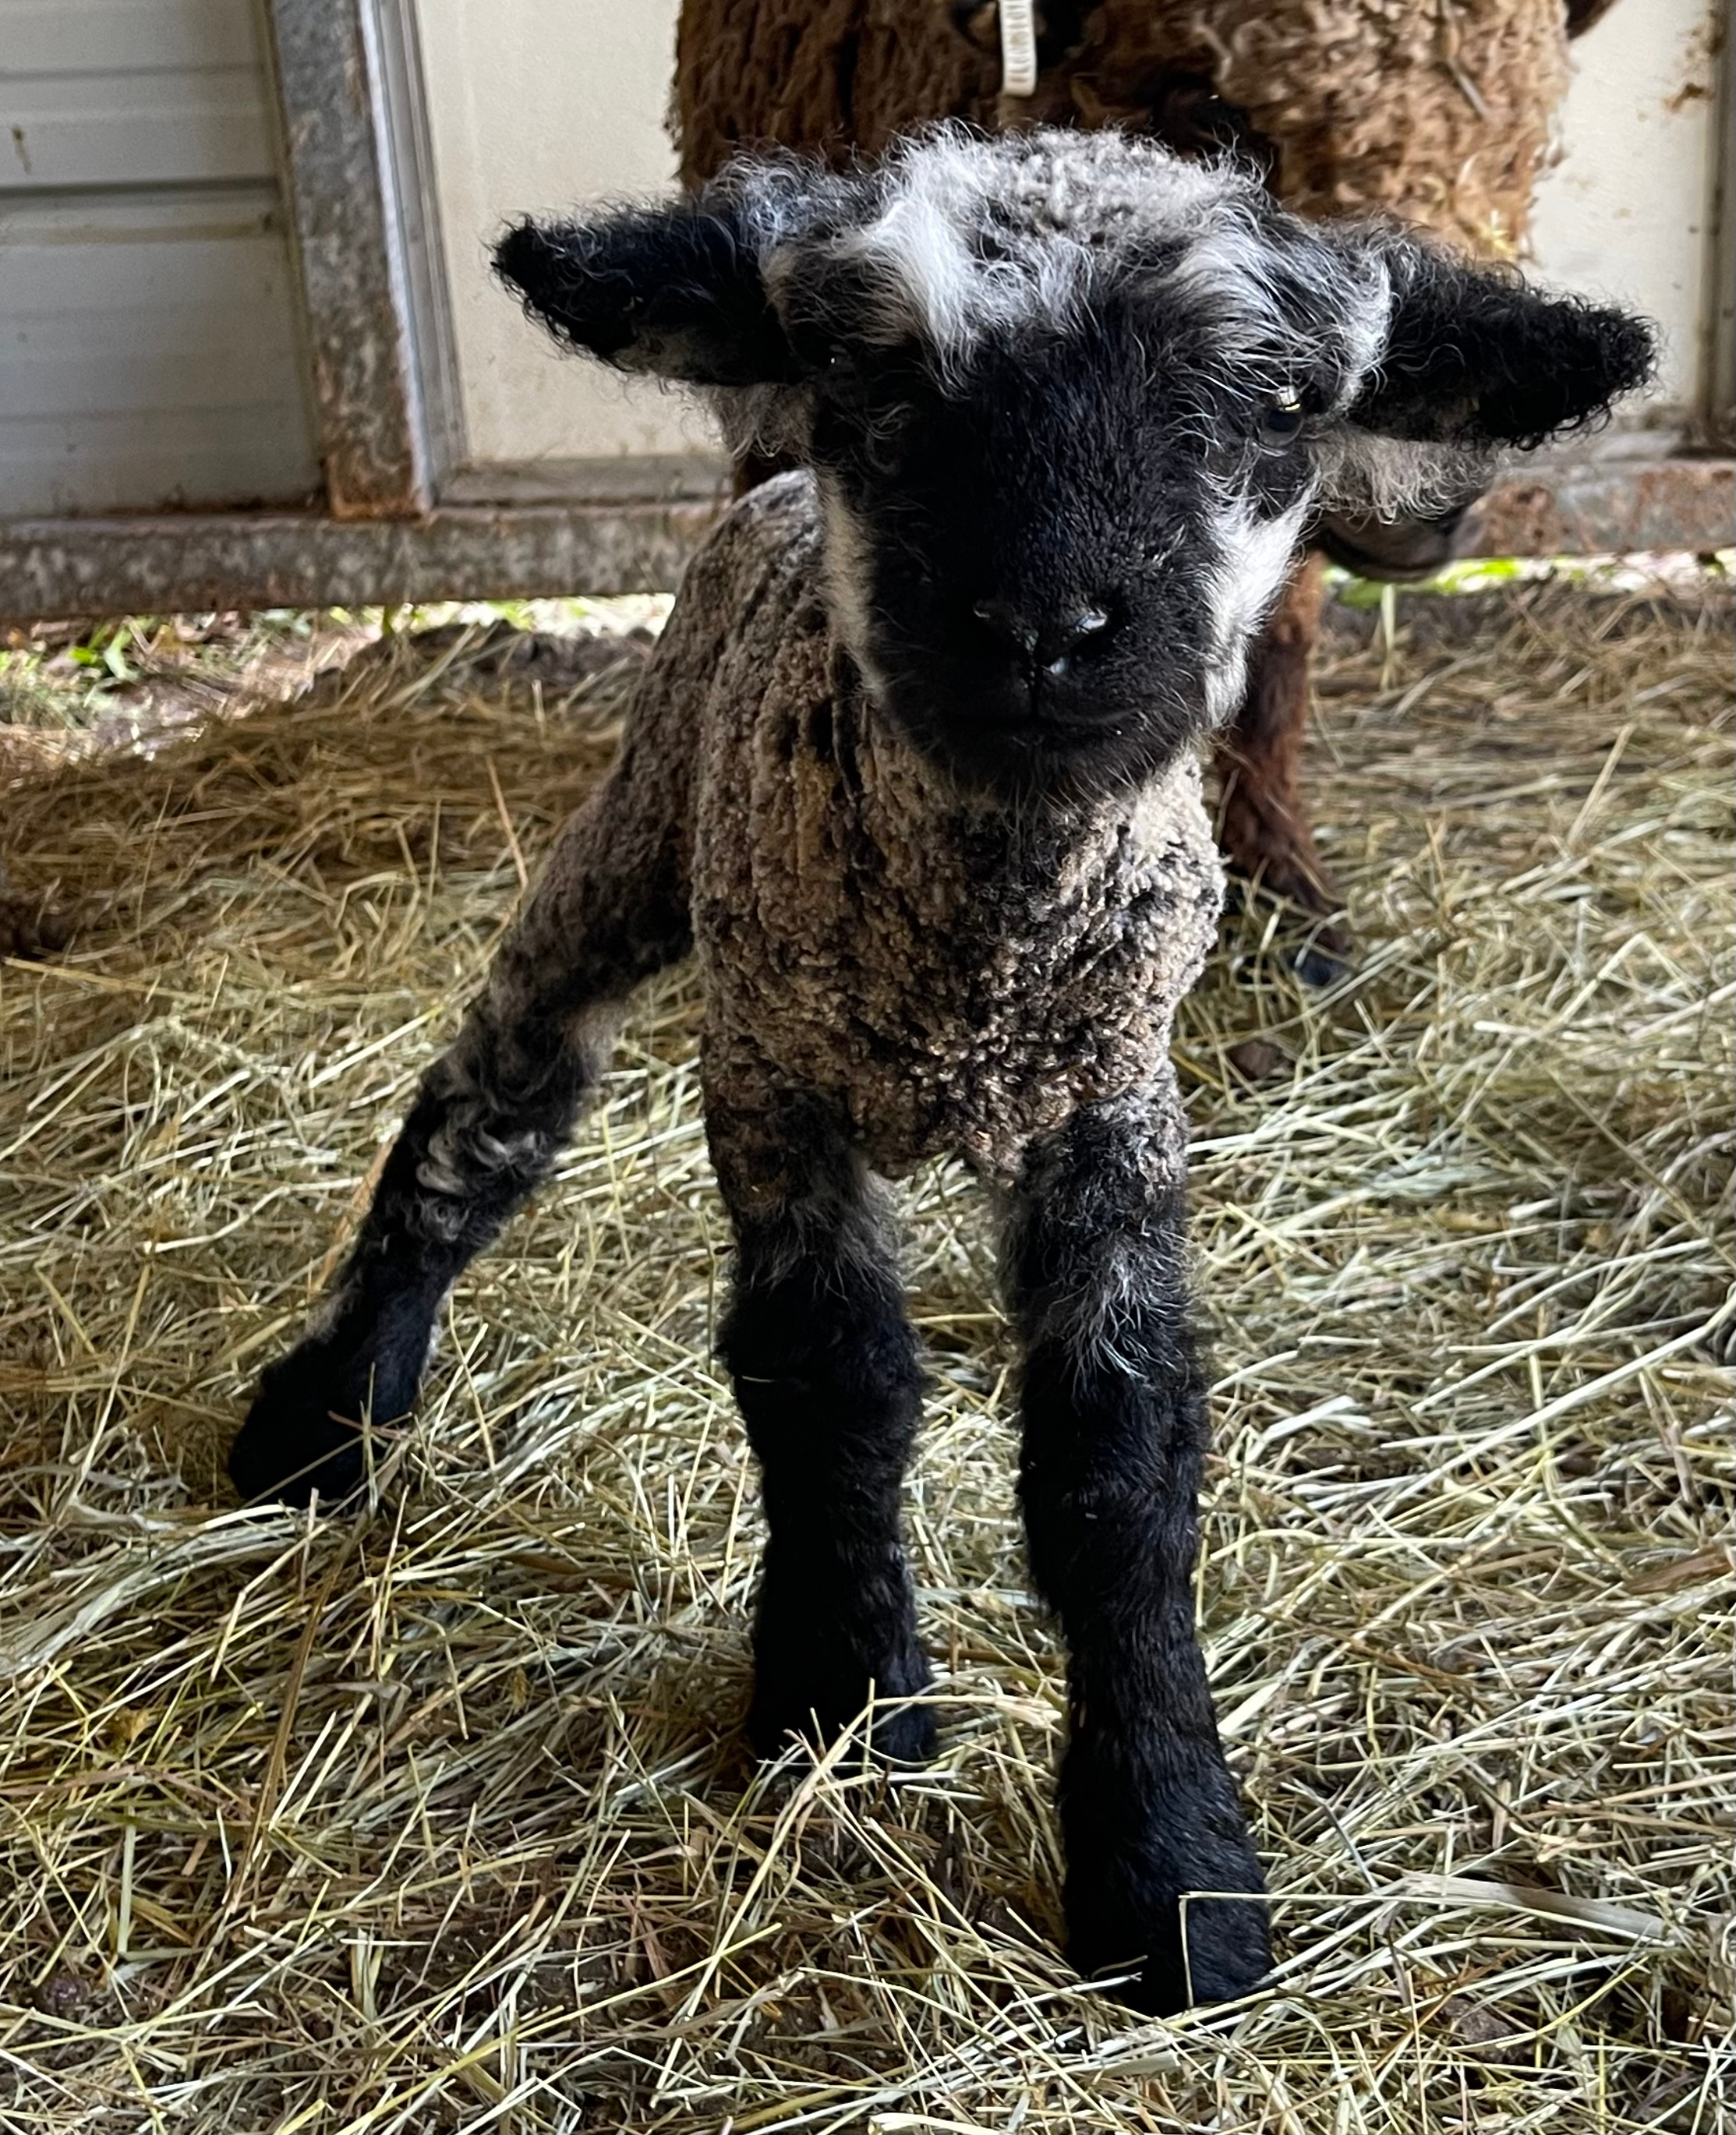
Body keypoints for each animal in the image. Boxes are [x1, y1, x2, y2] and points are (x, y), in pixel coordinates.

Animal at [227, 129, 1651, 2012]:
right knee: (489, 1106)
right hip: (632, 838)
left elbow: (1121, 1461)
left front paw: (1169, 1871)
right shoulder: (770, 1073)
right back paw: (326, 1410)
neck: (978, 953)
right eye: (870, 373)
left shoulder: (1111, 1103)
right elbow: (831, 1381)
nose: (1040, 623)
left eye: (1270, 405)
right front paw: (842, 1697)